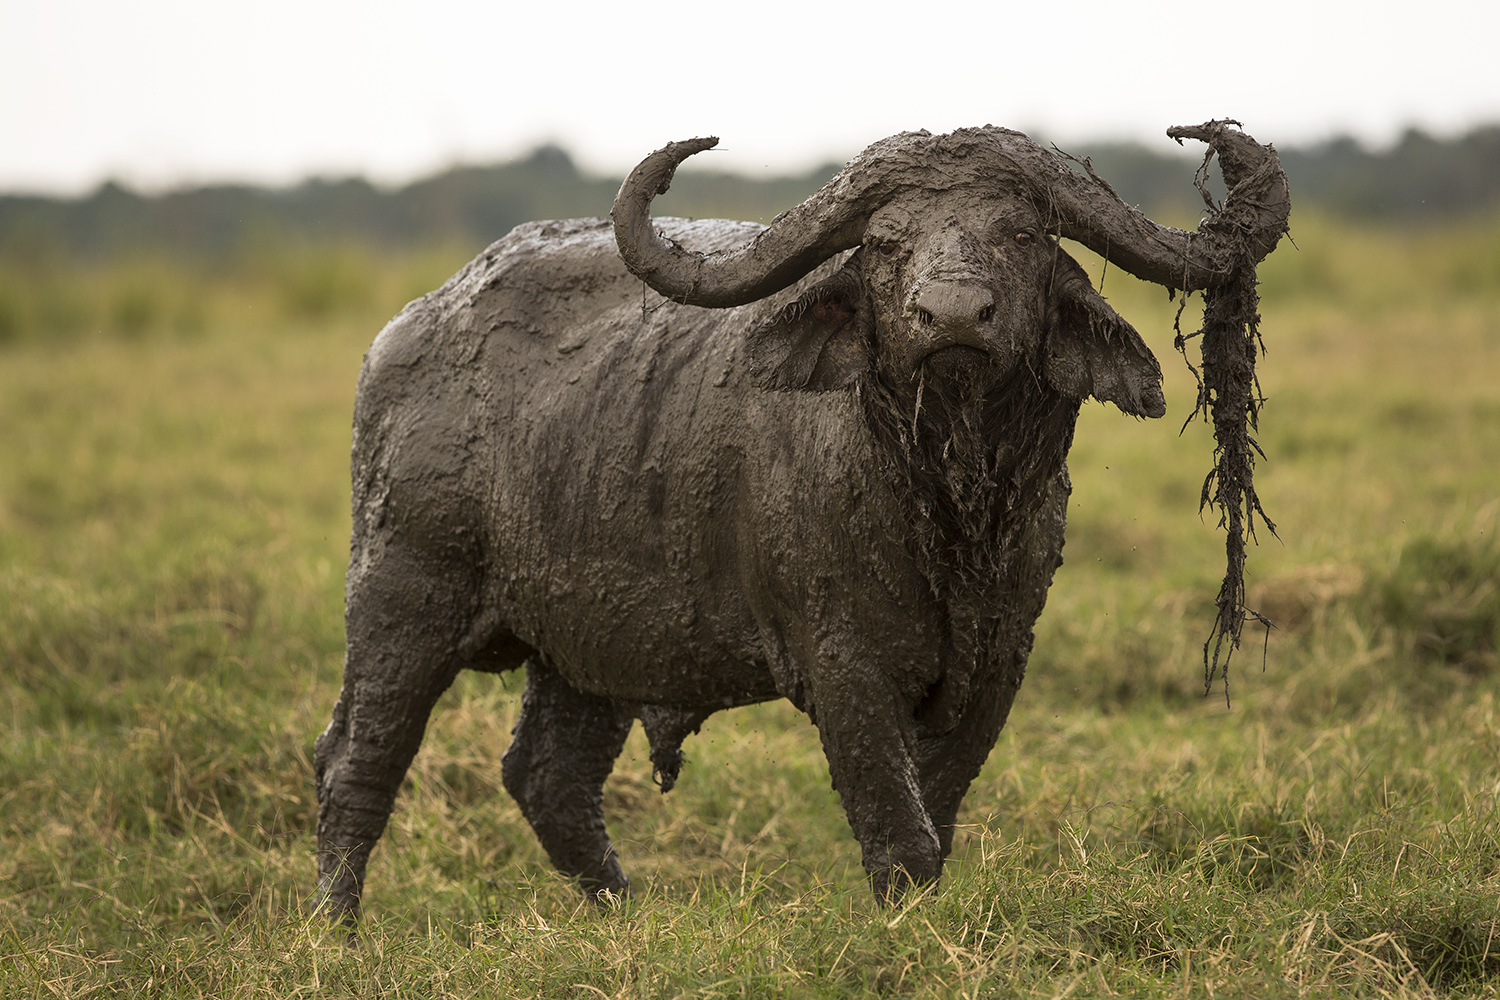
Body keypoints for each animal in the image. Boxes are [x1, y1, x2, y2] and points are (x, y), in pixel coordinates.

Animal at [307, 122, 1290, 923]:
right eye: (887, 243)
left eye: (1021, 234)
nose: (951, 315)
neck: (946, 508)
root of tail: (404, 334)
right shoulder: (842, 664)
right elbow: (900, 833)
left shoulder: (999, 664)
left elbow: (937, 816)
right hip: (402, 593)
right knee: (357, 760)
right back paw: (338, 929)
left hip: (587, 640)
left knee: (550, 776)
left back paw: (624, 914)